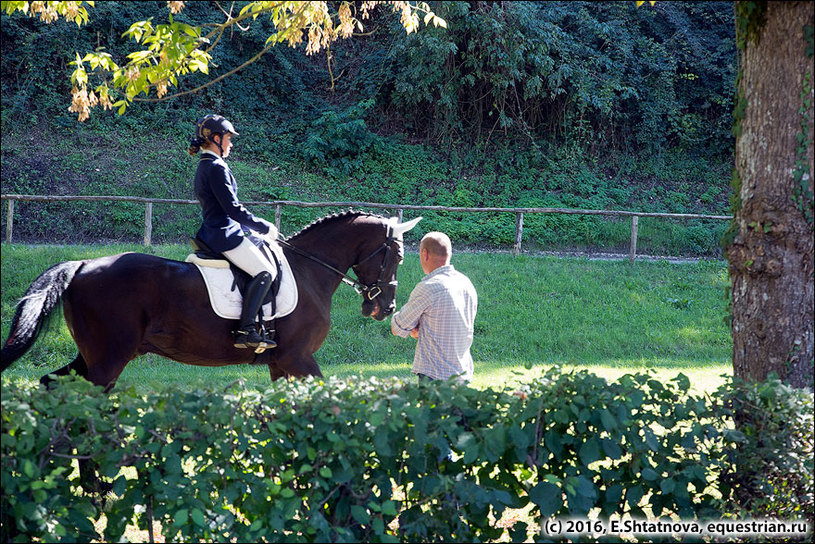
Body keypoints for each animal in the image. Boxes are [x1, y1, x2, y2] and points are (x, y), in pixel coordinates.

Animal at [0, 211, 420, 386]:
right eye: (397, 256)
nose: (384, 308)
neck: (309, 269)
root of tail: (83, 263)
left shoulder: (281, 362)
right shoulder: (299, 357)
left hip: (92, 356)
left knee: (52, 384)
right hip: (108, 360)